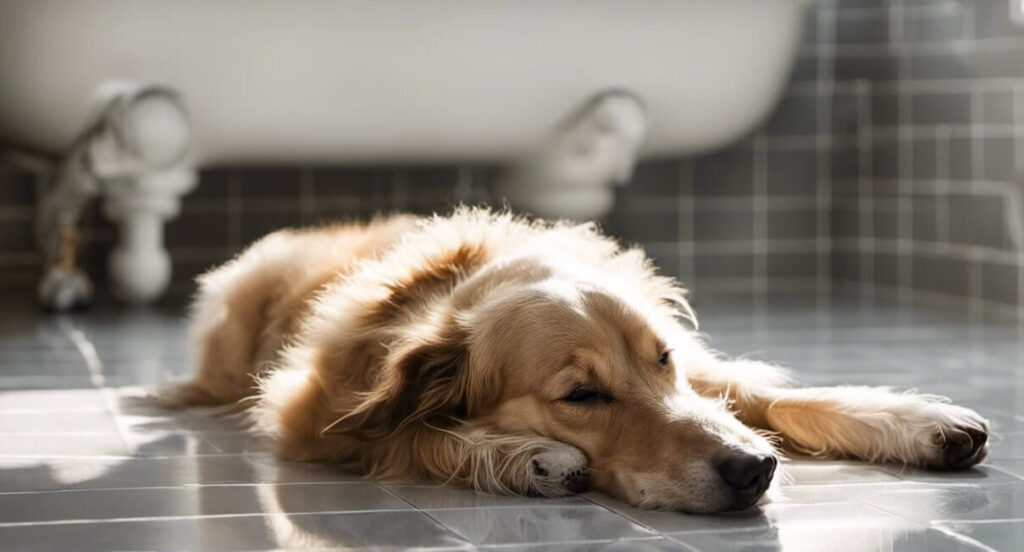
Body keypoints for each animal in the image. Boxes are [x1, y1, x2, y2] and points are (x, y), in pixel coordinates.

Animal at [161, 206, 991, 514]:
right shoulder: (311, 419)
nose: (752, 471)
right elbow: (415, 434)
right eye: (581, 395)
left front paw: (916, 421)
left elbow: (769, 396)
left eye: (663, 361)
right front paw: (526, 455)